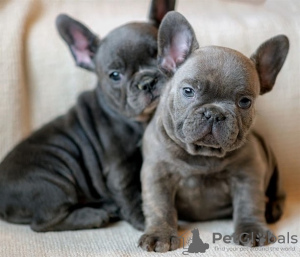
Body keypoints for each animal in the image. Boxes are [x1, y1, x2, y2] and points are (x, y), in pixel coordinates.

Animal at [0, 0, 175, 231]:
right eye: (115, 75)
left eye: (159, 56)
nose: (146, 82)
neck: (140, 121)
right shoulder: (120, 168)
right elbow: (130, 192)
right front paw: (143, 219)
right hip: (53, 179)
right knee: (43, 222)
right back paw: (93, 216)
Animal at [138, 11, 288, 251]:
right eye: (188, 91)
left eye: (245, 102)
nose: (214, 113)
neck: (203, 154)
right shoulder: (157, 174)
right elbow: (160, 206)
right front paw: (159, 234)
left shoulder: (248, 174)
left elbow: (249, 203)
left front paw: (251, 230)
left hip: (274, 166)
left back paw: (272, 210)